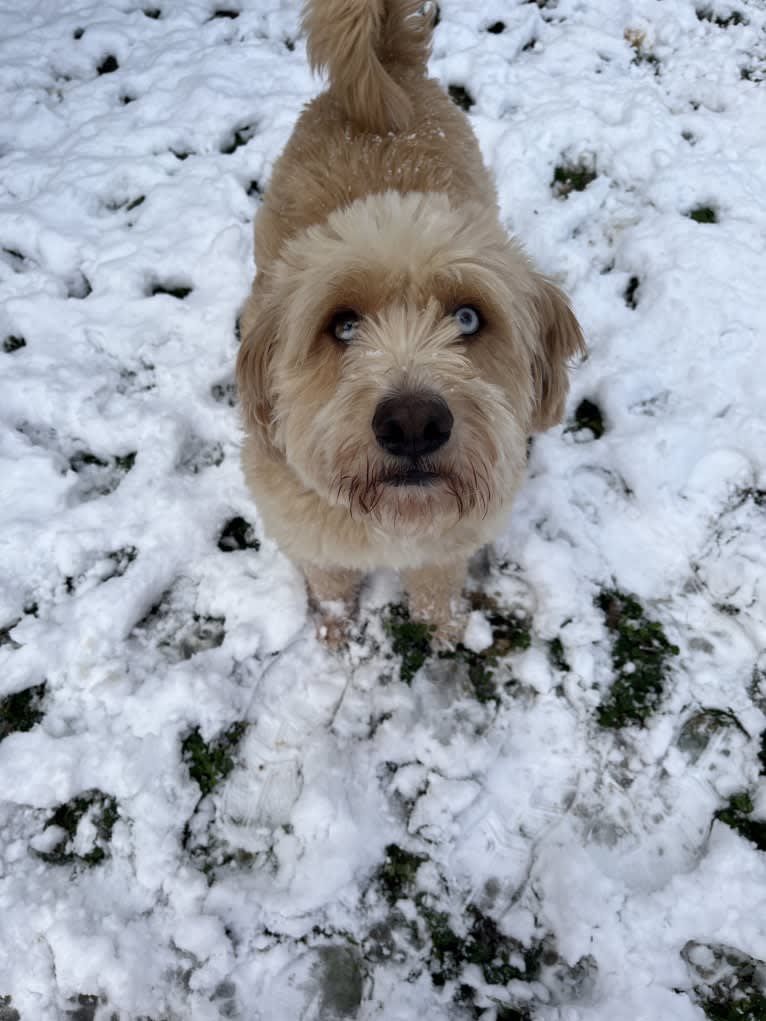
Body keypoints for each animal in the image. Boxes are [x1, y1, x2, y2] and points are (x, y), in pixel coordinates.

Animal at [236, 0, 584, 641]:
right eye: (343, 325)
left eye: (468, 317)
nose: (414, 423)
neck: (394, 521)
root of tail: (390, 57)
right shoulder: (311, 539)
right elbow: (330, 588)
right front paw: (335, 635)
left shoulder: (448, 546)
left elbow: (435, 587)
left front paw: (443, 632)